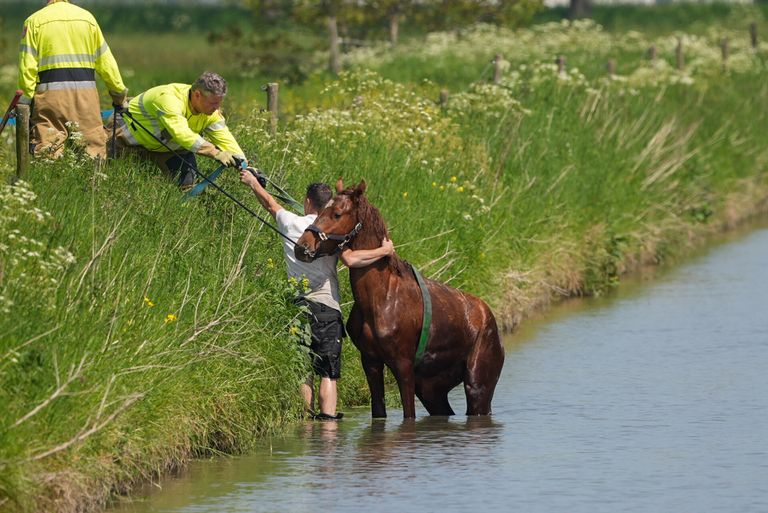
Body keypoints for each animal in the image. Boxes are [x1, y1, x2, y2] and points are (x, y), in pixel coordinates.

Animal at [294, 179, 504, 416]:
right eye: (321, 211)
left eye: (337, 214)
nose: (302, 246)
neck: (380, 299)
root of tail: (488, 316)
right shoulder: (371, 362)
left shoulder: (403, 366)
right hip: (431, 390)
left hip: (478, 386)